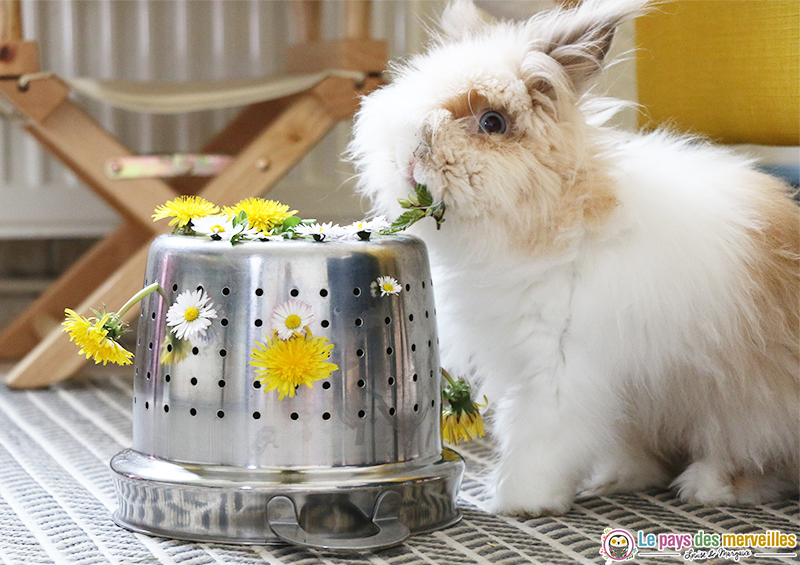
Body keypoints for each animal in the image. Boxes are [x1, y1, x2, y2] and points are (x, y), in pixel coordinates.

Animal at [350, 0, 800, 512]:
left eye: (492, 123)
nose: (409, 157)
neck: (559, 219)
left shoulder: (561, 367)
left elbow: (541, 436)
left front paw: (516, 501)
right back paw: (619, 476)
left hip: (747, 405)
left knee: (760, 458)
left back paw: (708, 484)